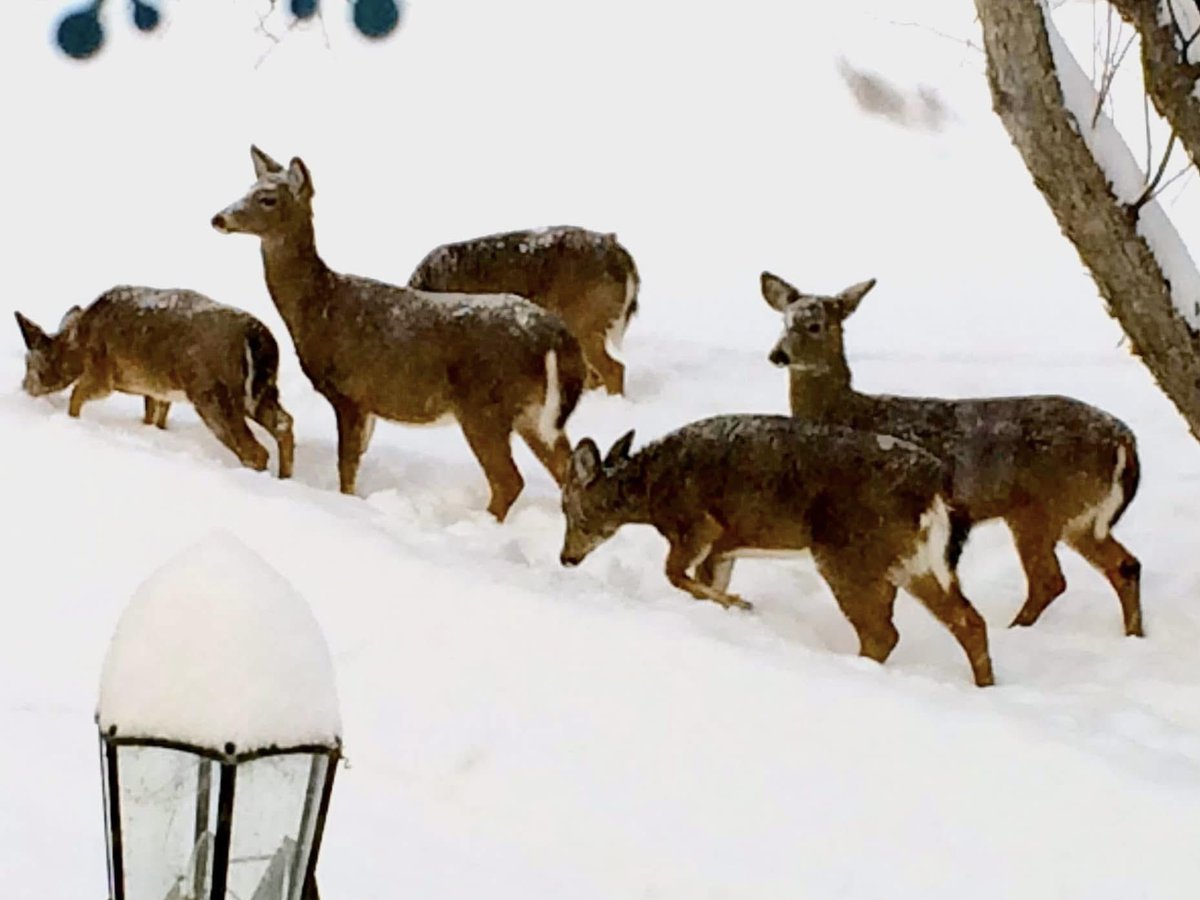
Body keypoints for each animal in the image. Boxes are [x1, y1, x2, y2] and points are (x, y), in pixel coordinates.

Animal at [14, 286, 294, 477]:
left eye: (30, 362)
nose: (24, 388)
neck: (75, 343)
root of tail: (259, 337)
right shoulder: (158, 389)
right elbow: (154, 416)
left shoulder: (103, 373)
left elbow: (76, 395)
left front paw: (72, 420)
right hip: (261, 389)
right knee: (284, 422)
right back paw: (284, 476)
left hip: (212, 393)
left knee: (256, 451)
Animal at [211, 146, 589, 522]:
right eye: (247, 188)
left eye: (267, 198)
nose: (219, 219)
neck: (320, 307)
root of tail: (556, 336)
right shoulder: (369, 404)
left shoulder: (350, 393)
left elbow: (346, 467)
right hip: (533, 413)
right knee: (564, 471)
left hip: (484, 406)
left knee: (509, 480)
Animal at [558, 415, 996, 687]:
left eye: (569, 508)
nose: (566, 558)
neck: (649, 492)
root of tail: (934, 486)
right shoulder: (723, 548)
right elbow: (699, 580)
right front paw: (727, 607)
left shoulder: (697, 523)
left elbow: (673, 574)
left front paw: (742, 603)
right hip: (914, 560)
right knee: (968, 620)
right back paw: (986, 685)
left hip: (848, 554)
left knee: (883, 632)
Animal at [759, 270, 1143, 637]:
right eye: (784, 321)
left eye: (815, 325)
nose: (778, 355)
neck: (846, 412)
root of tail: (1125, 440)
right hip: (1080, 516)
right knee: (1124, 565)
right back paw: (1132, 634)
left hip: (1042, 509)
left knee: (1050, 580)